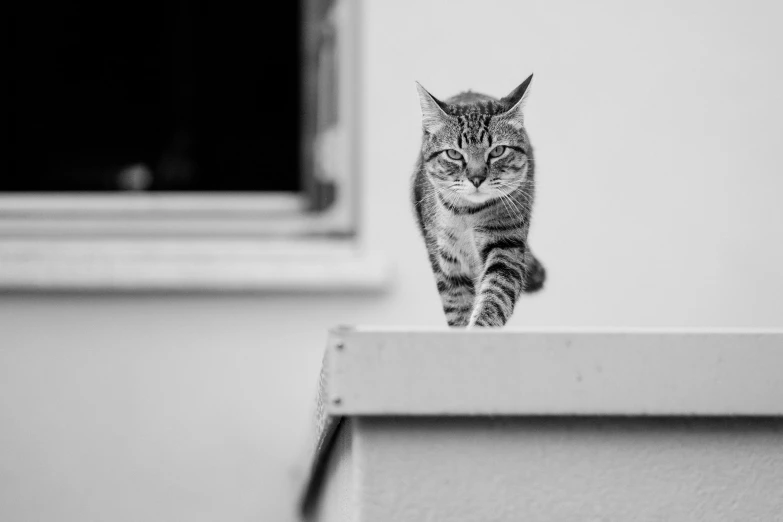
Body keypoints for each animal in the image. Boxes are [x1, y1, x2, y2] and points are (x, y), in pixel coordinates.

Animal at [410, 74, 544, 324]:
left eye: (498, 151)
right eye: (453, 154)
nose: (476, 177)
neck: (467, 215)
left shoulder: (506, 244)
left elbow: (495, 295)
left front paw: (481, 324)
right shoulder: (446, 261)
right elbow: (457, 307)